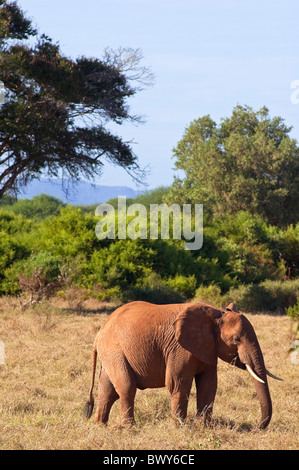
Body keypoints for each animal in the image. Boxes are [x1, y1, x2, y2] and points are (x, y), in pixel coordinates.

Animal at [83, 302, 282, 430]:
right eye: (236, 340)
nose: (256, 427)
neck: (216, 314)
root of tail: (100, 331)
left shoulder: (208, 348)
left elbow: (209, 385)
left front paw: (203, 427)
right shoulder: (179, 348)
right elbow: (178, 383)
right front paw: (180, 427)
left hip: (112, 353)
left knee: (107, 389)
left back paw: (100, 425)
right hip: (114, 350)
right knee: (126, 387)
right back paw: (129, 428)